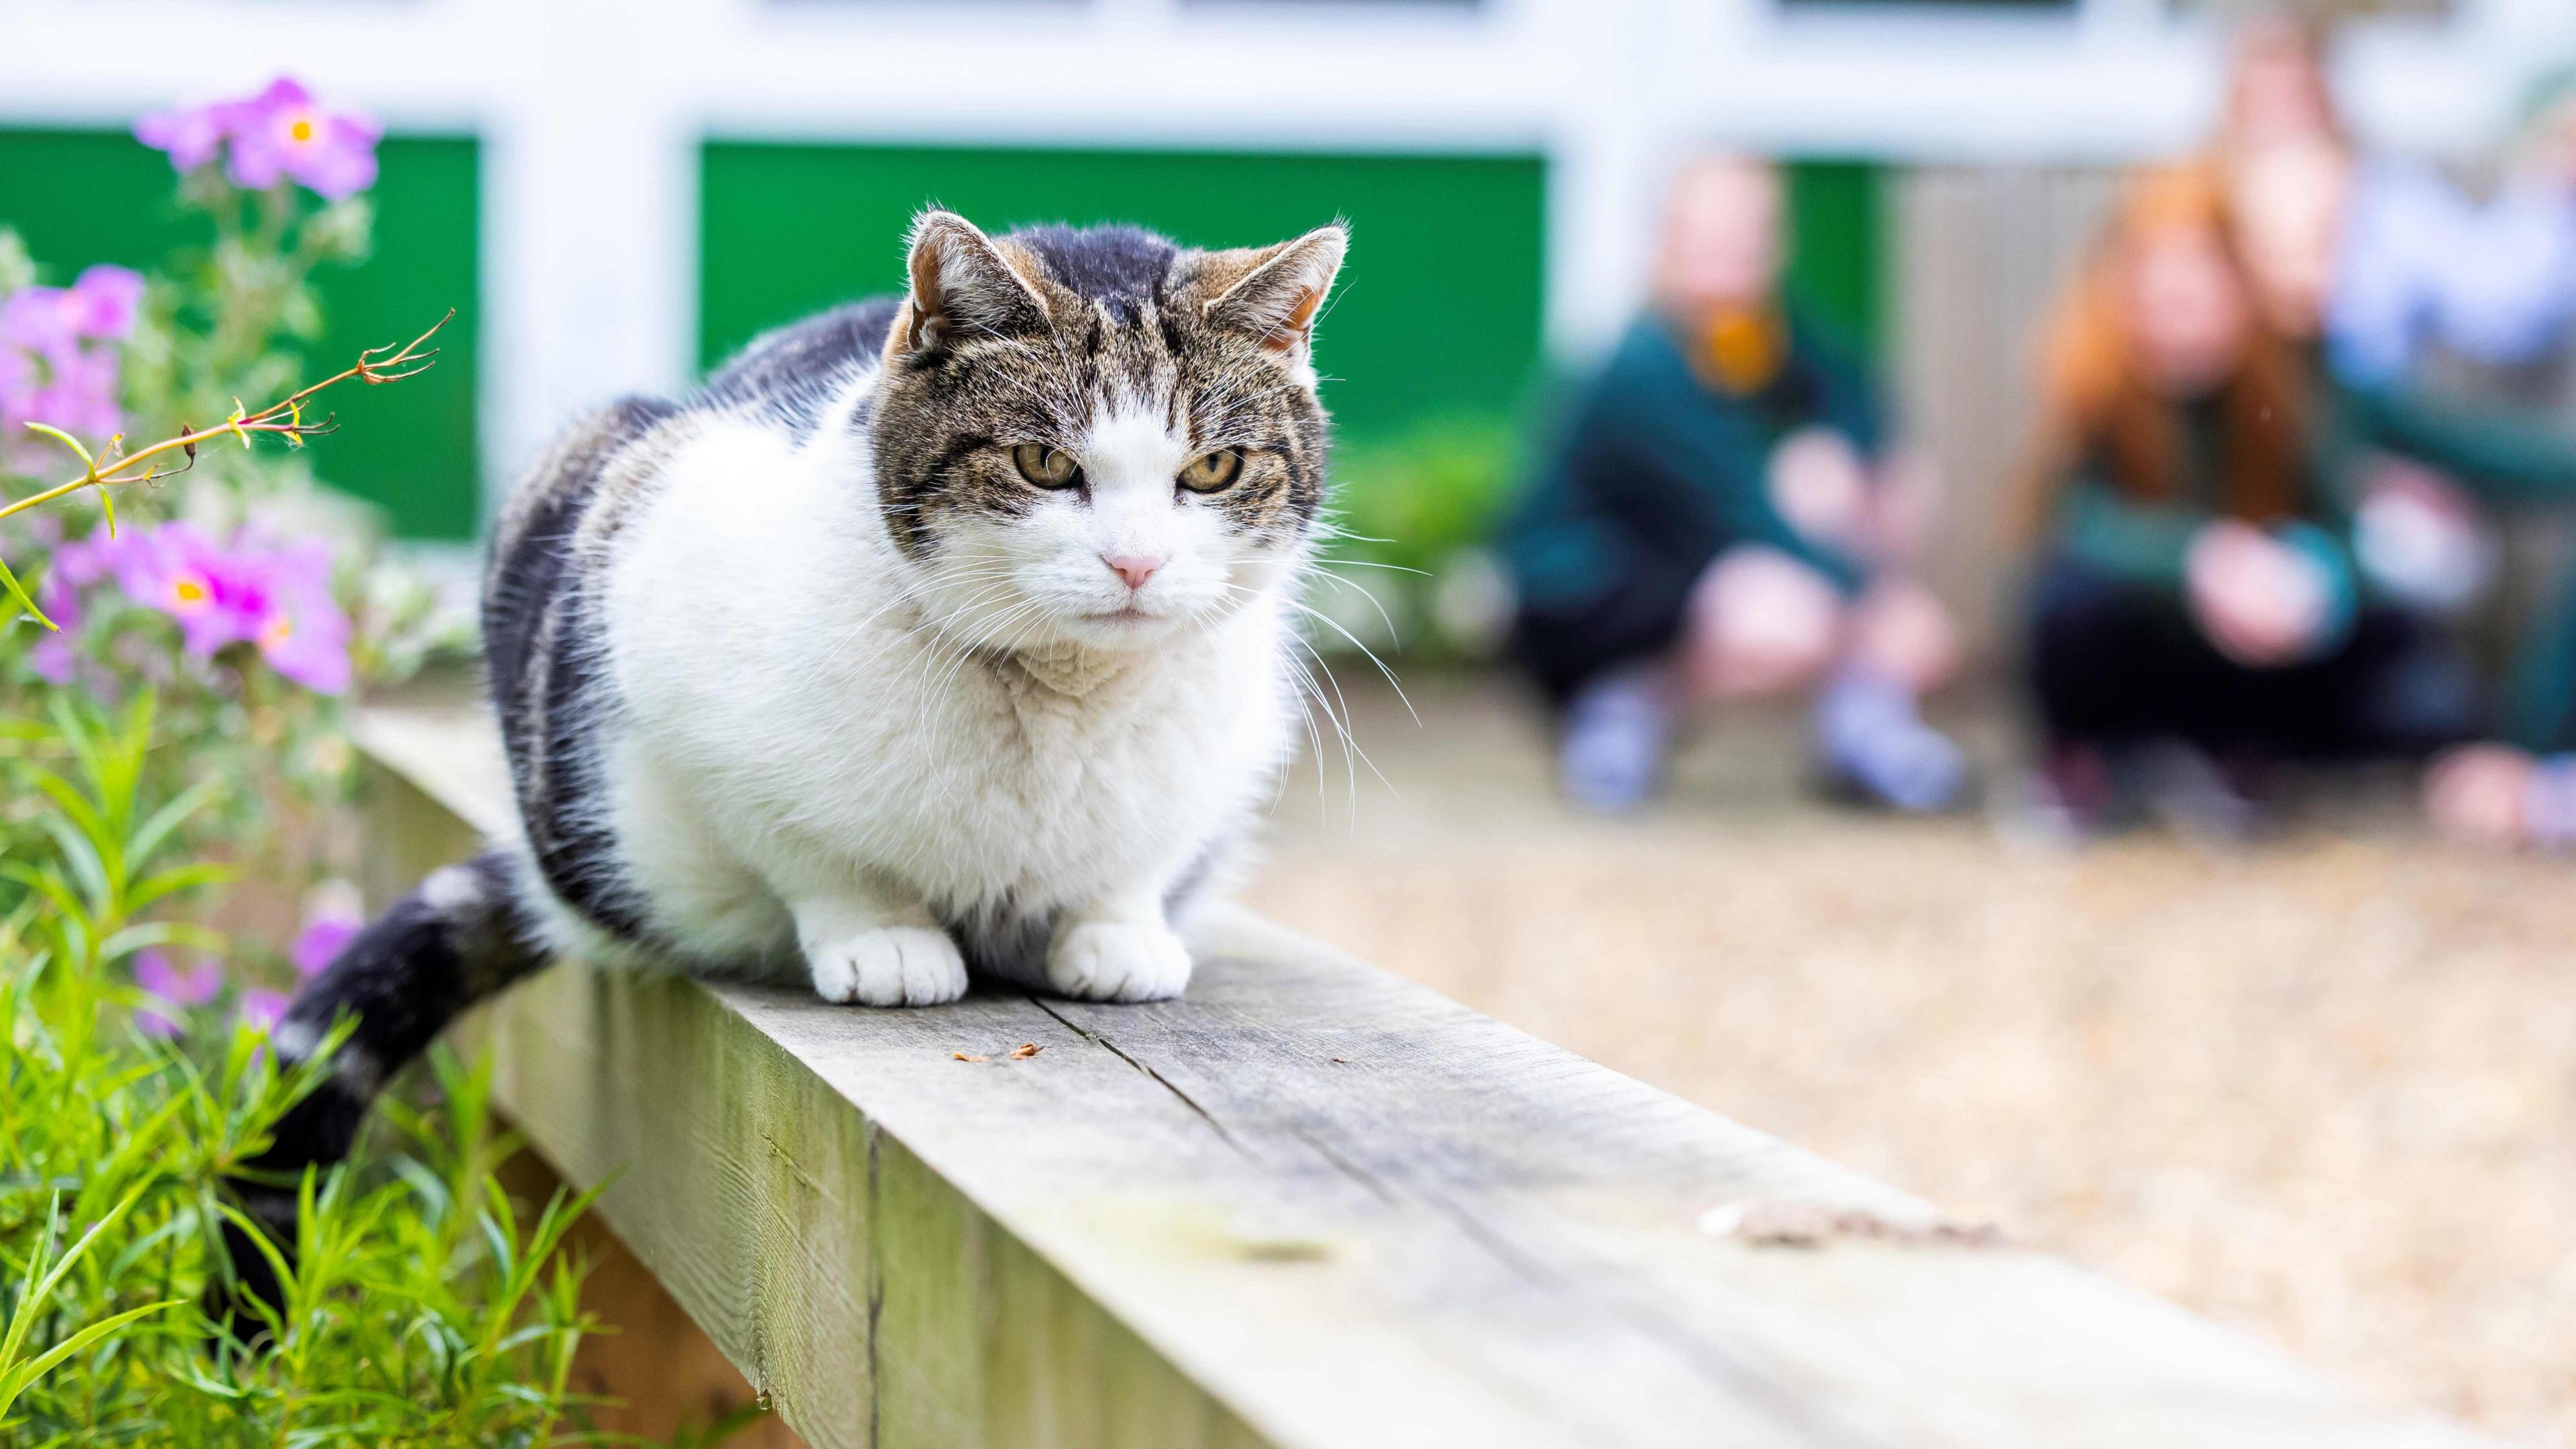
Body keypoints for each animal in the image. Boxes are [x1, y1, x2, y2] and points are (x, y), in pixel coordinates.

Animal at [231, 206, 1350, 1299]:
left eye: (1212, 469)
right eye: (1045, 464)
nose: (1136, 563)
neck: (1059, 696)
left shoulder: (1221, 750)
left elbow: (1136, 859)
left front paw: (1117, 929)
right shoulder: (665, 628)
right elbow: (806, 844)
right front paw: (885, 936)